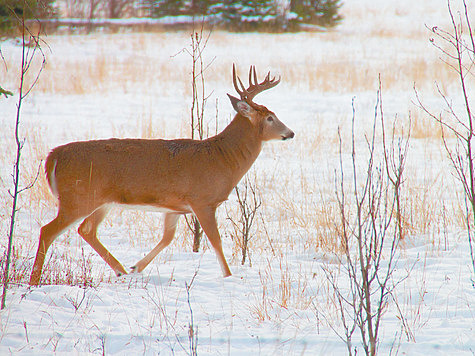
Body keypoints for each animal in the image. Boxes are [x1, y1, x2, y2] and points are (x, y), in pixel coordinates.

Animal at [28, 64, 294, 286]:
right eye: (270, 117)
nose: (290, 133)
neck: (222, 158)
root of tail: (53, 156)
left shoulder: (175, 207)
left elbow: (168, 237)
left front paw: (137, 267)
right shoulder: (202, 201)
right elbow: (216, 240)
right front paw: (229, 276)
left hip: (101, 201)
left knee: (86, 230)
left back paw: (121, 271)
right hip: (78, 197)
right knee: (48, 231)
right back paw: (34, 280)